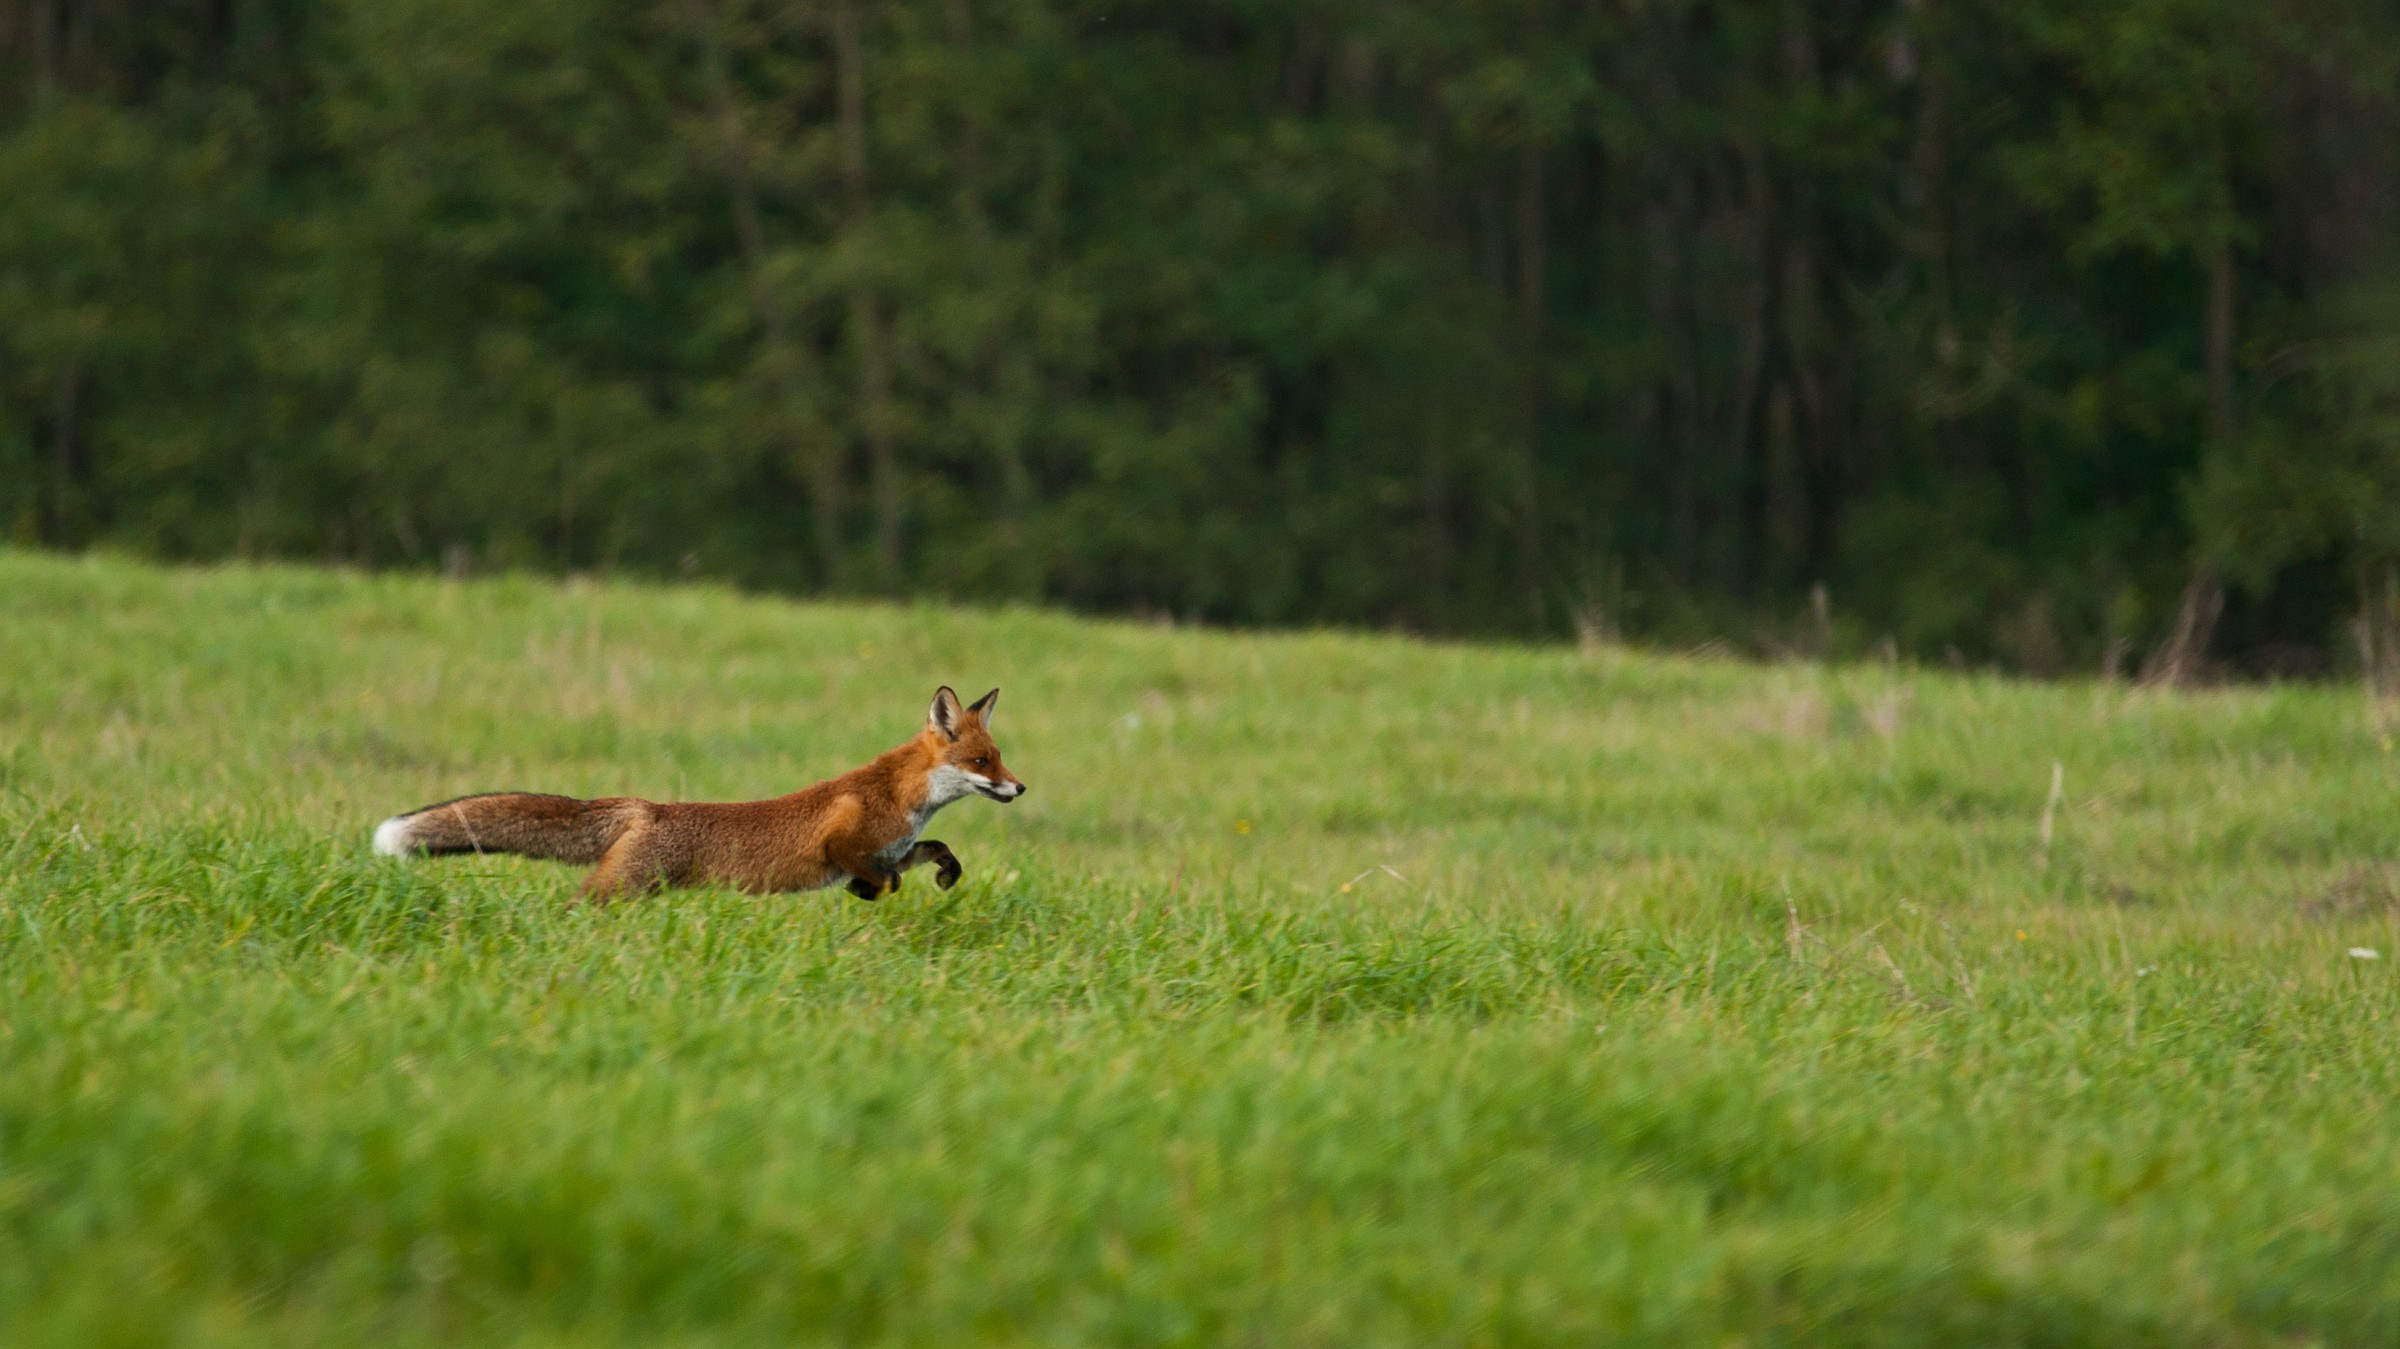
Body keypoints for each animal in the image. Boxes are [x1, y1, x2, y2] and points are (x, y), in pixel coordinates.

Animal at [371, 686, 1024, 902]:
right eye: (982, 761)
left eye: (999, 756)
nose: (1019, 786)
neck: (900, 797)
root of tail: (646, 807)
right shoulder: (841, 845)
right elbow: (881, 880)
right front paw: (866, 893)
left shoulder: (894, 847)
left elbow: (931, 852)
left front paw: (944, 873)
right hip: (620, 890)